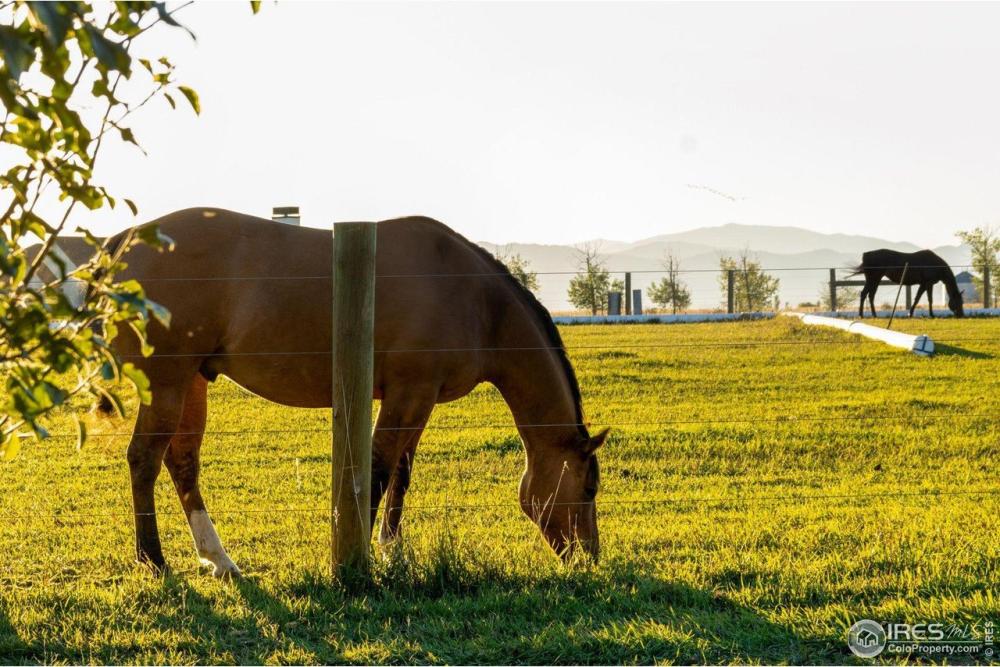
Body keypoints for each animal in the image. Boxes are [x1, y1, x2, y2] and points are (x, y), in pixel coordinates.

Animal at [109, 210, 608, 580]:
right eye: (588, 487)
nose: (589, 558)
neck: (475, 300)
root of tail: (127, 241)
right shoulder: (408, 394)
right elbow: (380, 469)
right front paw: (360, 557)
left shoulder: (419, 398)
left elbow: (402, 475)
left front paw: (392, 551)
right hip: (167, 382)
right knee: (144, 459)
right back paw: (153, 561)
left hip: (191, 381)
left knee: (182, 462)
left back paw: (218, 559)